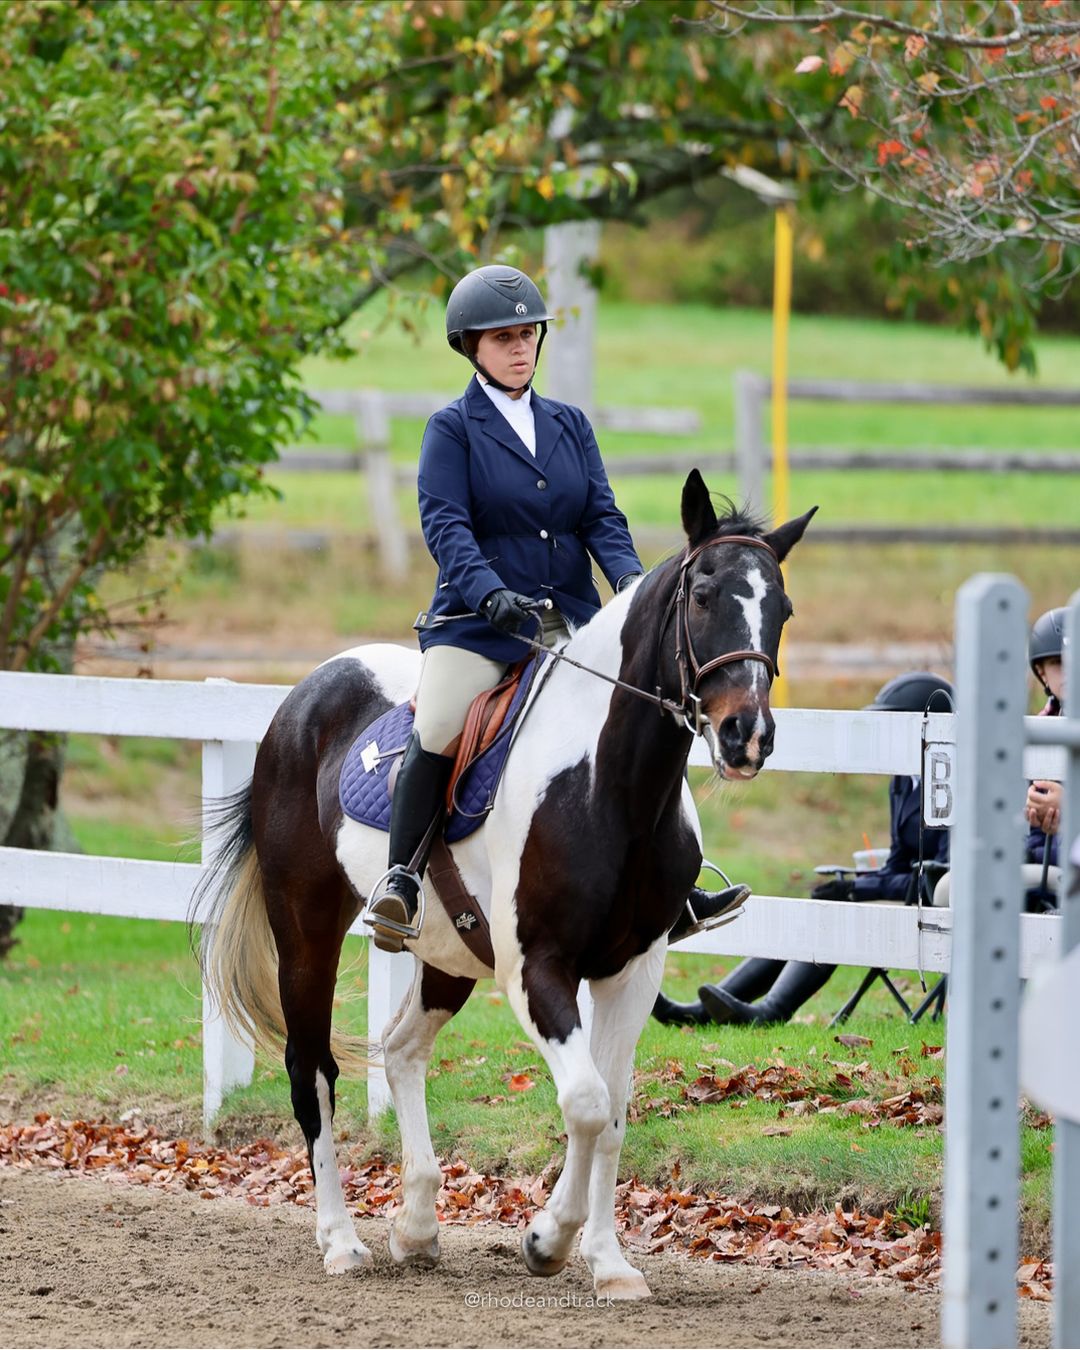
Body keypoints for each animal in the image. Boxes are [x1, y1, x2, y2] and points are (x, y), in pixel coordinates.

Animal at [195, 470, 814, 1299]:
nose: (748, 736)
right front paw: (549, 1239)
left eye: (781, 608)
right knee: (312, 1069)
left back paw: (417, 1228)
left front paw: (608, 1262)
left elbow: (613, 1111)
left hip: (446, 953)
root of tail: (302, 697)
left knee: (401, 1051)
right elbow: (584, 1102)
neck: (610, 783)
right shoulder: (537, 968)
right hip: (306, 931)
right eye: (706, 594)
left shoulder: (634, 968)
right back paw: (342, 1241)